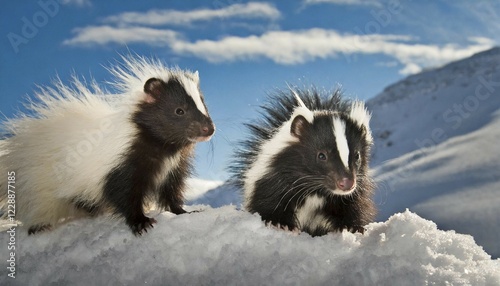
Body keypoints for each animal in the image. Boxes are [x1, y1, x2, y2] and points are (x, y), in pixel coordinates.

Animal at [0, 55, 215, 235]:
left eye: (204, 105)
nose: (209, 129)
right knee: (40, 205)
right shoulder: (120, 164)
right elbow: (124, 193)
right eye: (179, 111)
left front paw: (183, 212)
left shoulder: (173, 167)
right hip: (40, 183)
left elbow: (170, 191)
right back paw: (39, 226)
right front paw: (141, 222)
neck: (165, 149)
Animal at [230, 87, 376, 237]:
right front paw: (281, 224)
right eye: (321, 155)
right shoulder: (275, 179)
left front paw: (352, 227)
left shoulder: (355, 190)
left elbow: (353, 205)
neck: (315, 190)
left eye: (357, 155)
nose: (347, 183)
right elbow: (270, 201)